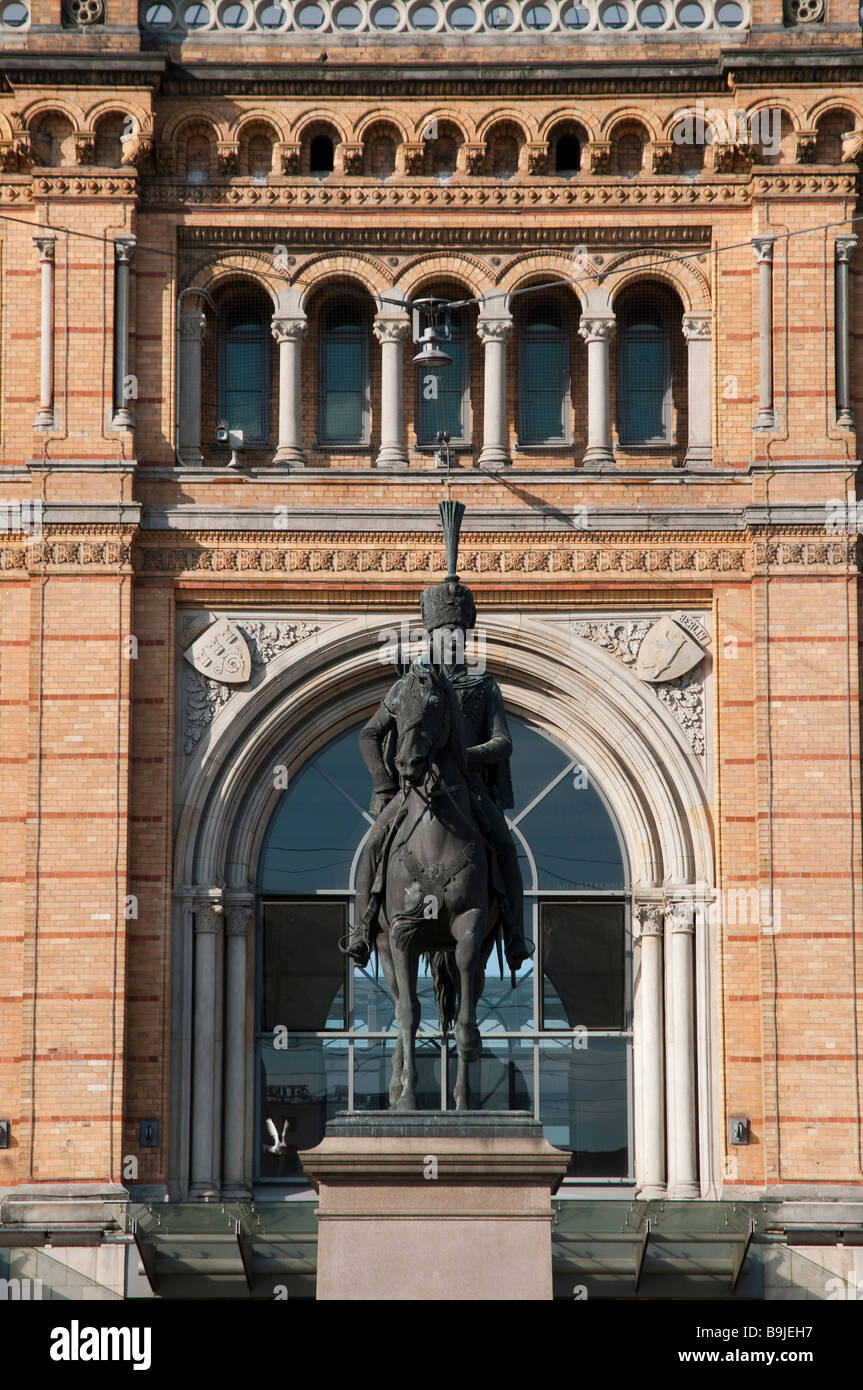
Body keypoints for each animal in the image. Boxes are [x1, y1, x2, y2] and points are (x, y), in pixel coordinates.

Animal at [372, 658, 497, 1106]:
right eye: (393, 708)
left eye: (433, 705)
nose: (408, 765)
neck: (435, 832)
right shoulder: (402, 932)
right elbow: (409, 1013)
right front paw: (408, 1096)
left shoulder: (470, 923)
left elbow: (463, 1013)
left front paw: (462, 1089)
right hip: (383, 945)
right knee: (397, 1002)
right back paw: (395, 1088)